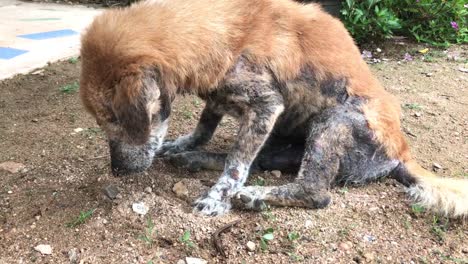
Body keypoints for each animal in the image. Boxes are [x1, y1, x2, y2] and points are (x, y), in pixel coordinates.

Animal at [78, 0, 466, 217]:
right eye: (103, 122)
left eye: (114, 119)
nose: (116, 171)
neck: (223, 36)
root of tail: (402, 155)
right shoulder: (220, 98)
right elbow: (205, 128)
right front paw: (182, 144)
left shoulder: (266, 105)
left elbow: (236, 165)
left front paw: (216, 199)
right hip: (285, 142)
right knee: (261, 161)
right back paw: (193, 159)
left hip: (332, 122)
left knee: (314, 192)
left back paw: (252, 197)